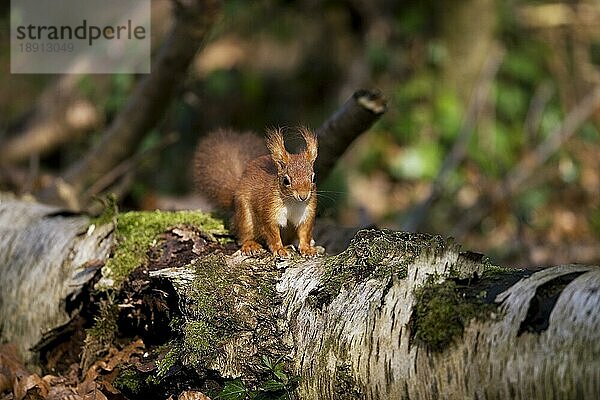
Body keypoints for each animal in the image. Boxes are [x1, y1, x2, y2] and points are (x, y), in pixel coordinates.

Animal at [196, 128, 318, 258]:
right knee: (244, 235)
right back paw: (250, 245)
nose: (303, 196)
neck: (292, 202)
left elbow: (305, 232)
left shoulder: (307, 212)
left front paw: (307, 248)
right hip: (244, 216)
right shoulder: (268, 210)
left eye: (314, 178)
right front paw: (279, 249)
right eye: (286, 181)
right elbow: (272, 233)